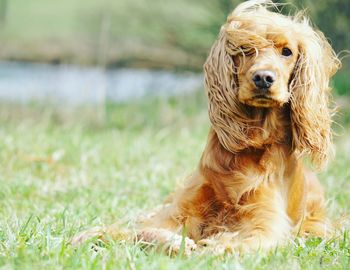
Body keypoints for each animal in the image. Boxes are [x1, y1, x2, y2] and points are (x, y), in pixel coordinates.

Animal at [72, 0, 340, 255]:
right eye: (245, 49)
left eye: (287, 52)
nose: (263, 78)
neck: (252, 145)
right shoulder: (180, 210)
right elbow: (139, 229)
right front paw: (99, 235)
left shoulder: (266, 222)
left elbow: (239, 242)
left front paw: (210, 247)